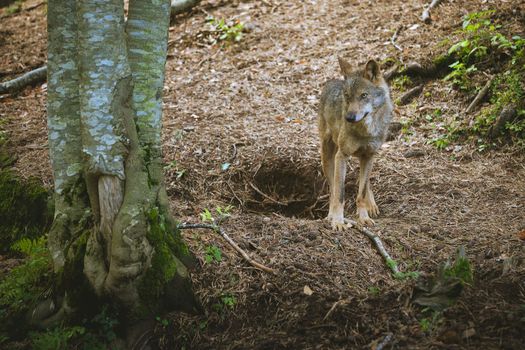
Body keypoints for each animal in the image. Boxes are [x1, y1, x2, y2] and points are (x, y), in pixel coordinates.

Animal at [318, 57, 390, 230]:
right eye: (347, 96)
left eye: (364, 95)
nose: (349, 118)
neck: (366, 131)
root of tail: (333, 81)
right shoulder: (342, 156)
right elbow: (339, 195)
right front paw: (338, 221)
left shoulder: (369, 156)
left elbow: (361, 193)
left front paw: (364, 217)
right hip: (327, 158)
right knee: (332, 190)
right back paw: (330, 216)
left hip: (363, 158)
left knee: (364, 182)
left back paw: (372, 206)